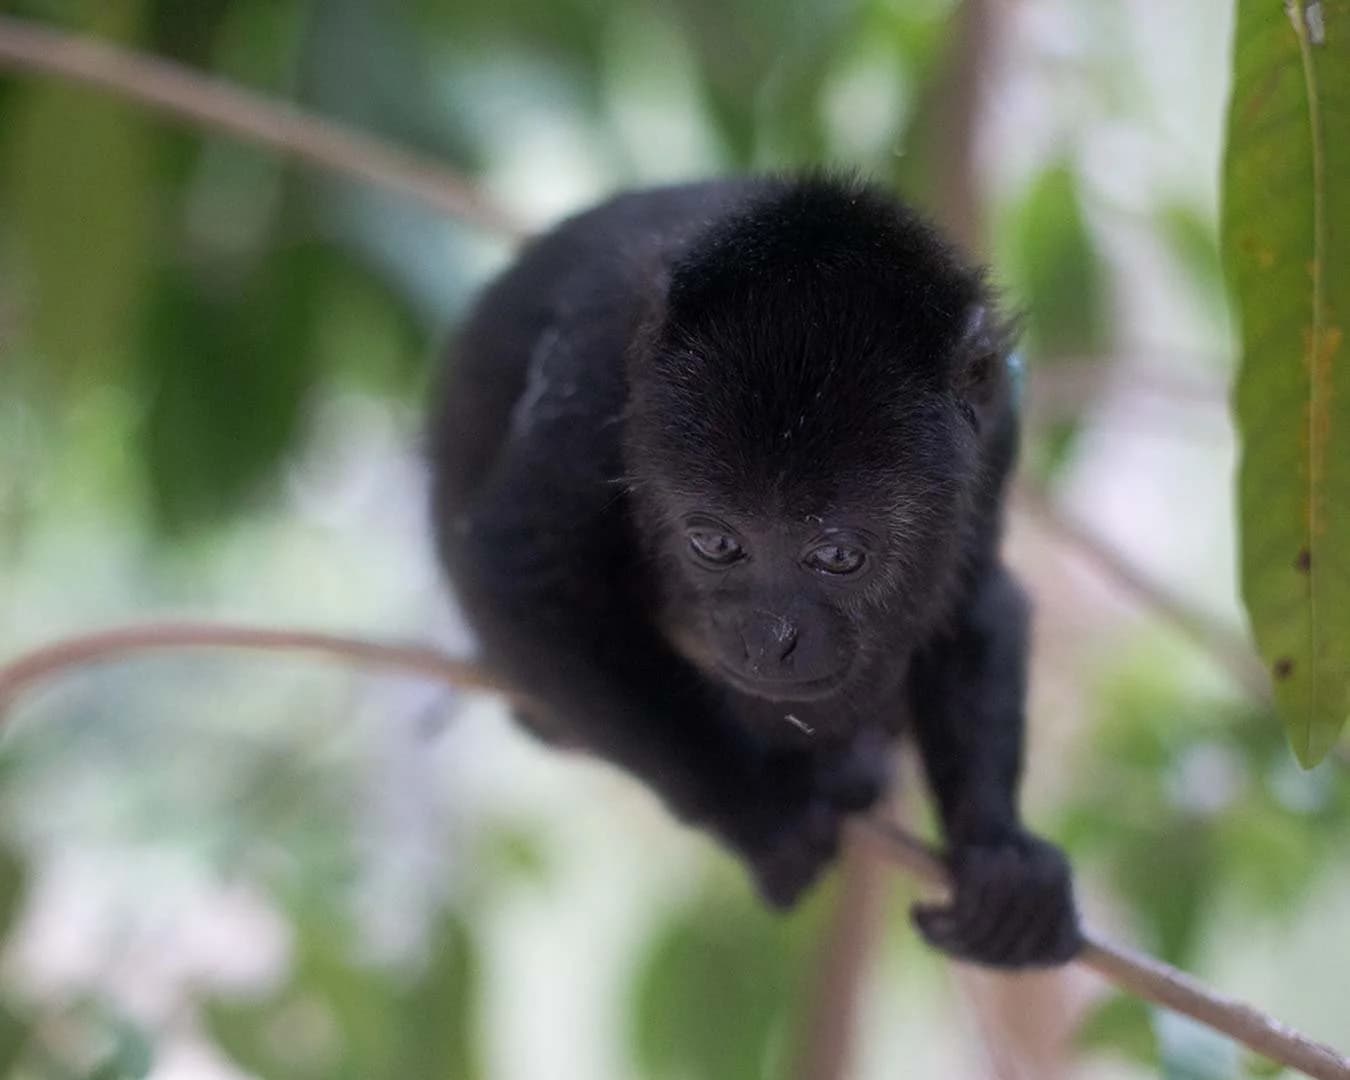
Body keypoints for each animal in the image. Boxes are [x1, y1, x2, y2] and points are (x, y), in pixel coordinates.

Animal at [427, 173, 1081, 968]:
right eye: (716, 543)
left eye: (838, 556)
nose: (769, 639)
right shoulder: (595, 372)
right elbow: (520, 571)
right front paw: (766, 815)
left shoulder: (996, 424)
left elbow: (972, 599)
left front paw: (999, 853)